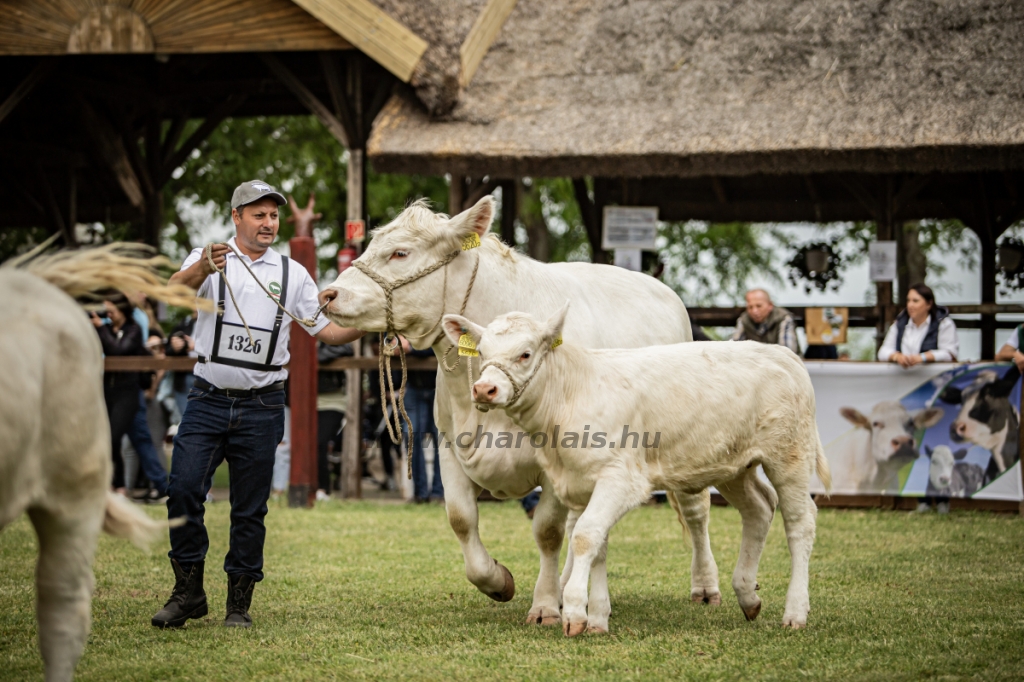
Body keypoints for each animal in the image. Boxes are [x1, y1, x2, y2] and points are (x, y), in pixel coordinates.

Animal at [319, 195, 720, 622]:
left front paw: (544, 605)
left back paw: (704, 586)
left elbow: (547, 531)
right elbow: (461, 519)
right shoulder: (449, 445)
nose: (327, 294)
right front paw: (498, 581)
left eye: (400, 252)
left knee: (695, 509)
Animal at [444, 305, 827, 634]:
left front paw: (575, 611)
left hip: (789, 455)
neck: (572, 393)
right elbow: (596, 541)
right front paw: (597, 617)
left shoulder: (620, 479)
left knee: (800, 521)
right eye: (481, 353)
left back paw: (795, 612)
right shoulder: (582, 483)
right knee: (758, 508)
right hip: (733, 465)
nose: (484, 389)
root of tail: (783, 355)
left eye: (524, 354)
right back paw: (748, 596)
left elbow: (584, 536)